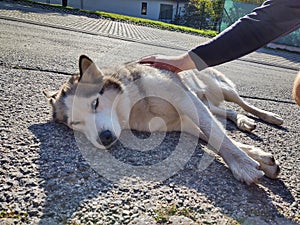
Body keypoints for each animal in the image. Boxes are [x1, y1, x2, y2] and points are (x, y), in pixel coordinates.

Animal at [42, 55, 284, 185]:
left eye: (95, 103)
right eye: (75, 124)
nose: (105, 138)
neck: (135, 105)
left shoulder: (185, 98)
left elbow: (215, 133)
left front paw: (243, 164)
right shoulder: (181, 123)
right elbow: (213, 135)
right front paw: (259, 158)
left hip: (221, 88)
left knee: (241, 102)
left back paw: (269, 116)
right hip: (206, 100)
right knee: (223, 112)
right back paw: (242, 121)